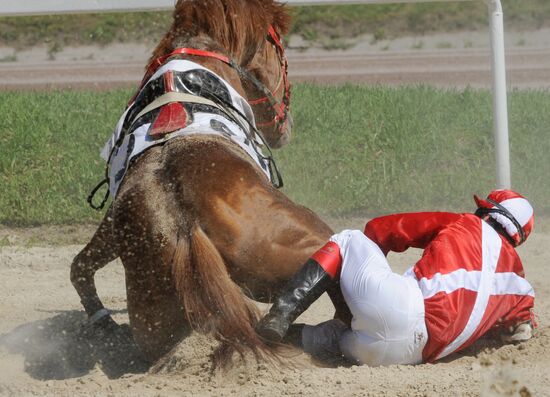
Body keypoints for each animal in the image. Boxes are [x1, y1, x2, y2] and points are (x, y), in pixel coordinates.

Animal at [71, 0, 350, 366]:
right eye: (279, 49)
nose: (286, 124)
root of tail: (186, 224)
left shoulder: (114, 220)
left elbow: (80, 265)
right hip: (313, 239)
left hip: (154, 321)